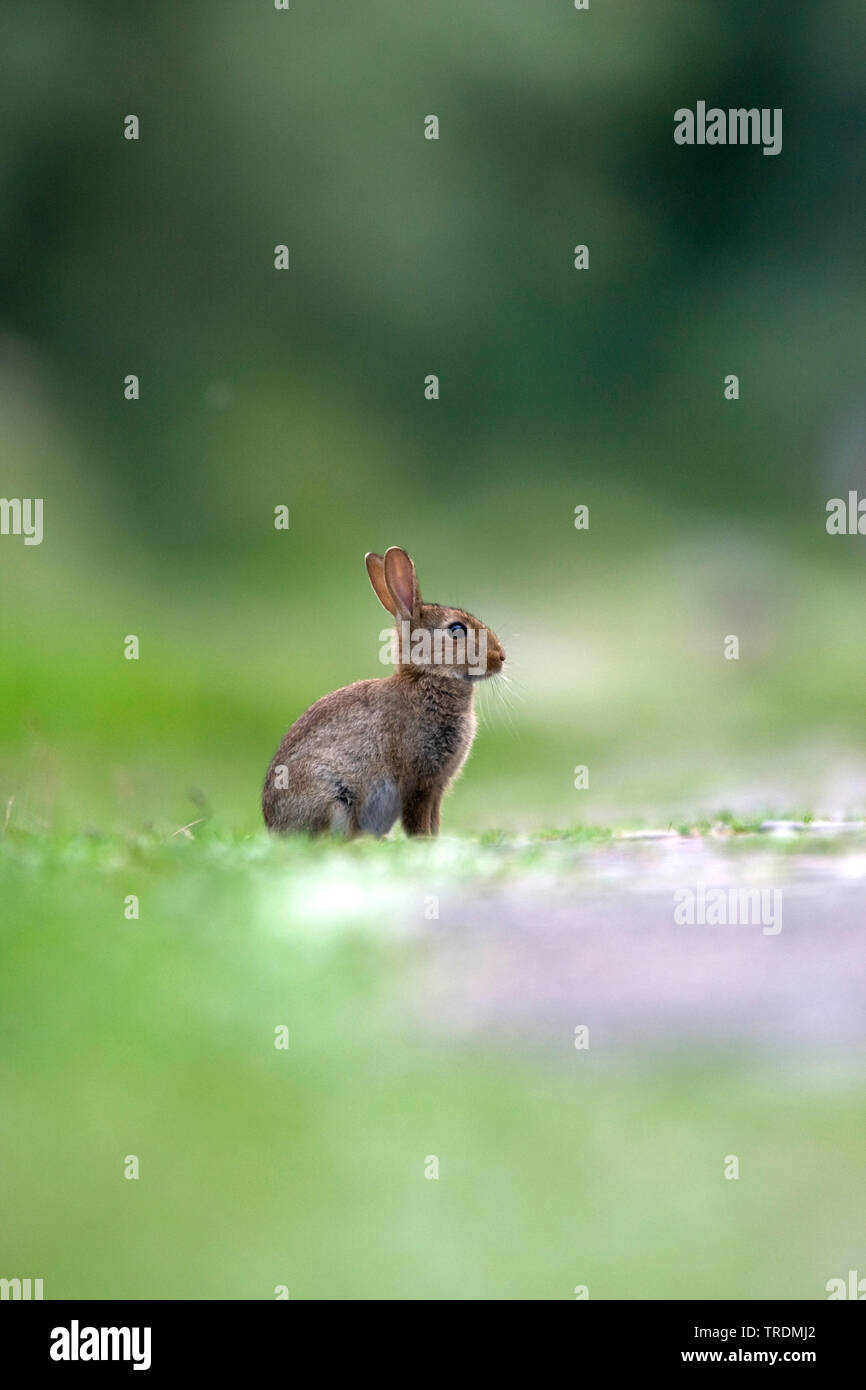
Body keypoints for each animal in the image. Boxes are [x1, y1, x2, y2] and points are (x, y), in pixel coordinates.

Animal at [262, 546, 505, 837]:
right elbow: (418, 822)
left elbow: (433, 821)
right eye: (456, 630)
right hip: (334, 800)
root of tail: (274, 827)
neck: (427, 678)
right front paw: (424, 843)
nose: (501, 657)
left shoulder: (436, 788)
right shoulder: (418, 783)